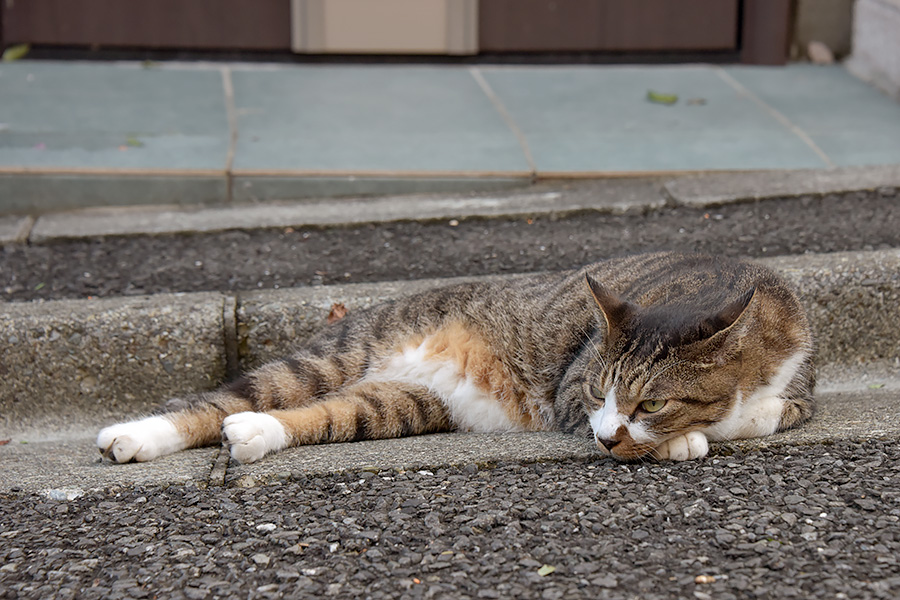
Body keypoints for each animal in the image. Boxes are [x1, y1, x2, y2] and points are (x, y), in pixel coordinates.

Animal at [98, 251, 816, 466]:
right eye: (597, 393)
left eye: (653, 399)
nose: (609, 436)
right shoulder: (570, 391)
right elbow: (725, 420)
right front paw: (682, 441)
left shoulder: (801, 392)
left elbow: (761, 412)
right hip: (334, 357)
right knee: (219, 402)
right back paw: (133, 436)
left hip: (402, 403)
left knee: (316, 415)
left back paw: (251, 435)